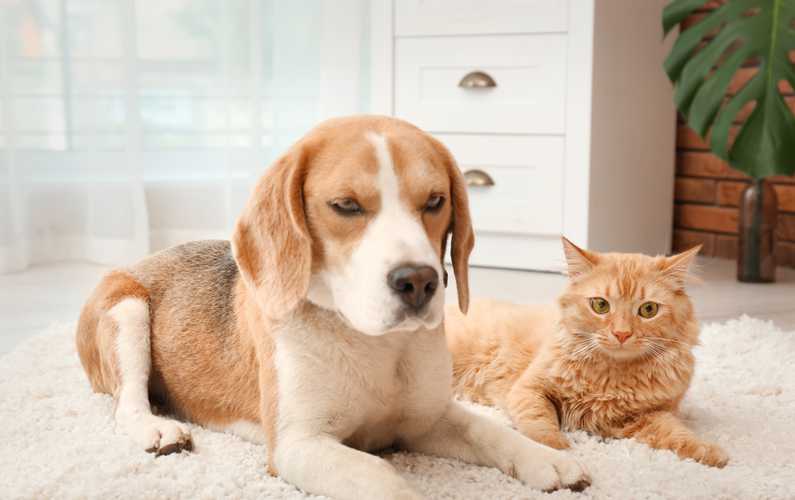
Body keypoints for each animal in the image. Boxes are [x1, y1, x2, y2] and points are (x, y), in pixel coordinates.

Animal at [76, 115, 592, 498]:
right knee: (127, 404)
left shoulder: (427, 419)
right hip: (128, 310)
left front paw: (547, 458)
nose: (419, 282)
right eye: (345, 205)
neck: (374, 344)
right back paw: (159, 431)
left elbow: (491, 431)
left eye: (435, 201)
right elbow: (384, 478)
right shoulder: (299, 445)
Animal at [444, 236, 732, 466]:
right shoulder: (530, 388)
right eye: (600, 305)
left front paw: (708, 451)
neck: (611, 379)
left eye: (648, 310)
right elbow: (539, 420)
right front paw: (555, 448)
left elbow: (678, 433)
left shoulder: (650, 415)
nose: (622, 333)